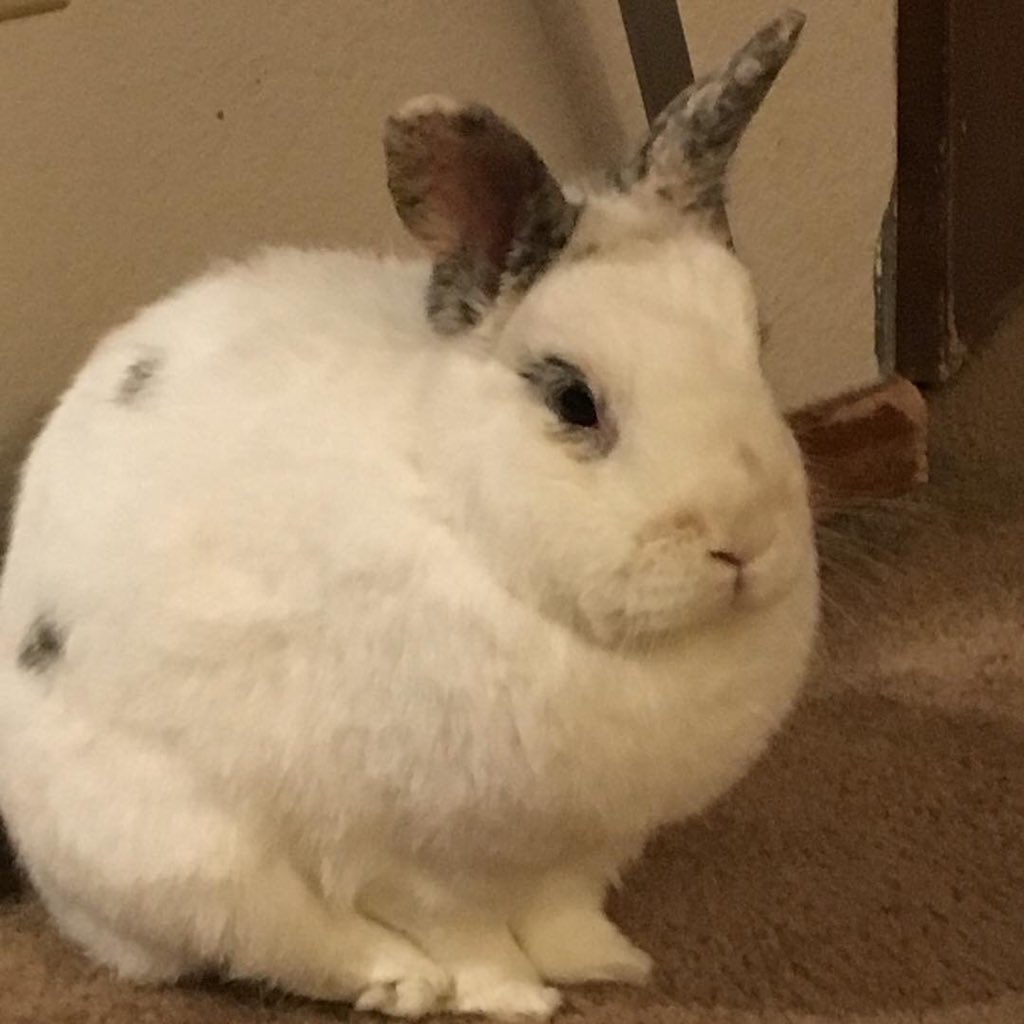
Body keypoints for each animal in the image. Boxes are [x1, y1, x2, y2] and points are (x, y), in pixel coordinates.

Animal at [0, 10, 816, 1021]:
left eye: (757, 347)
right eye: (573, 399)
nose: (741, 544)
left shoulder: (582, 849)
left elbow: (561, 909)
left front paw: (604, 963)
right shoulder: (408, 860)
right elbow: (465, 933)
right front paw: (516, 999)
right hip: (189, 853)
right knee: (282, 940)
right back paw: (401, 984)